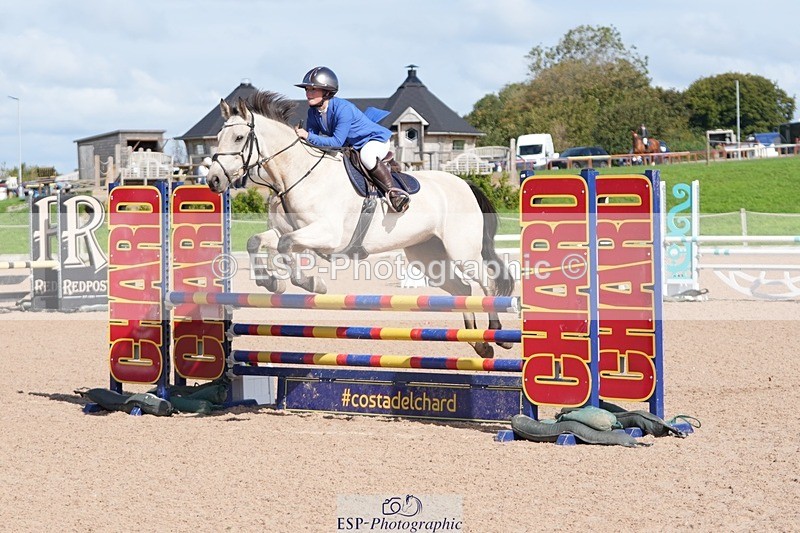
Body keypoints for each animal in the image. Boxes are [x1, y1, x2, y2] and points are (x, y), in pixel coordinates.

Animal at [205, 92, 515, 358]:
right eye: (217, 137)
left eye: (239, 137)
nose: (213, 180)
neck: (297, 175)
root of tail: (465, 184)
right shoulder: (289, 231)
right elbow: (257, 241)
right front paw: (269, 281)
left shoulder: (327, 236)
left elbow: (285, 246)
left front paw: (311, 283)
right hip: (427, 254)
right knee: (462, 290)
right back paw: (479, 344)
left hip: (462, 251)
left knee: (486, 282)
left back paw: (498, 335)